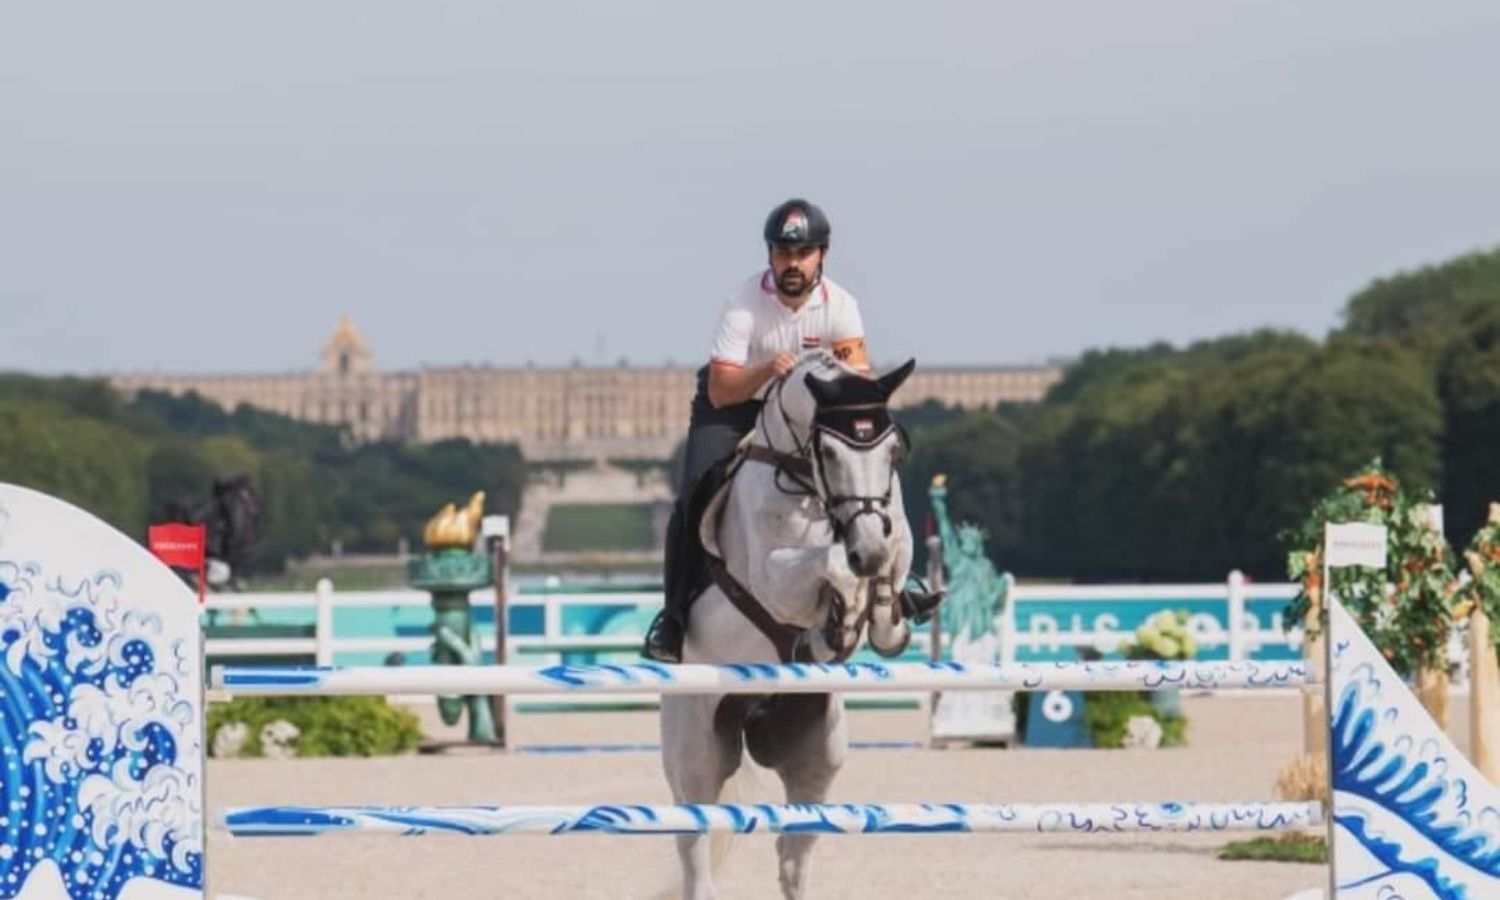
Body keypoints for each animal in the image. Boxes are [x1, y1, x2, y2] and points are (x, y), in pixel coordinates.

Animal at [663, 351, 918, 900]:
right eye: (829, 451)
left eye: (892, 450)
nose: (865, 548)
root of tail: (755, 709)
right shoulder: (773, 579)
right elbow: (828, 566)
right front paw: (837, 621)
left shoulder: (892, 531)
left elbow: (891, 556)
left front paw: (878, 617)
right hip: (695, 752)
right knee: (695, 853)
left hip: (817, 756)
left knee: (792, 856)